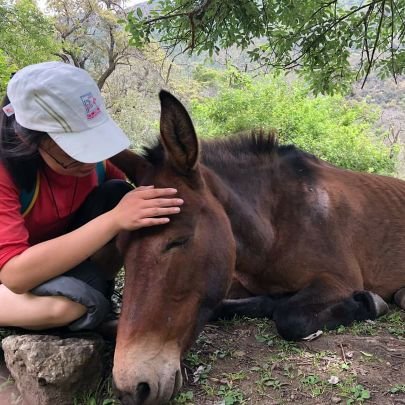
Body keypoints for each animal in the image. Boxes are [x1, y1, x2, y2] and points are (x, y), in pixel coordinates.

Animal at [109, 90, 404, 404]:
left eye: (178, 240)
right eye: (120, 246)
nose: (133, 388)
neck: (277, 226)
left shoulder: (339, 280)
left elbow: (289, 318)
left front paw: (368, 303)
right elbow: (236, 305)